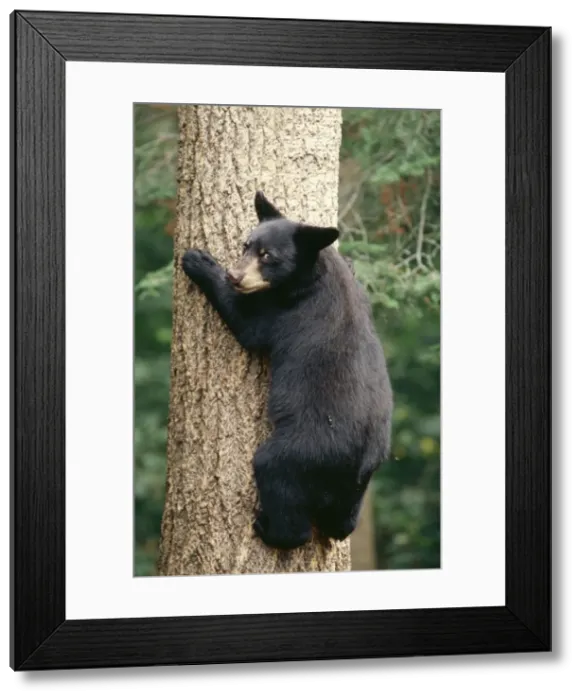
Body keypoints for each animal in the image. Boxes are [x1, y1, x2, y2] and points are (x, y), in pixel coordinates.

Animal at [181, 191, 393, 550]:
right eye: (246, 245)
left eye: (267, 256)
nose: (234, 276)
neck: (315, 271)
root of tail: (357, 465)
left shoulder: (286, 310)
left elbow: (247, 324)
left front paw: (198, 261)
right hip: (361, 484)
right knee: (342, 522)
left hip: (303, 450)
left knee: (274, 476)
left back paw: (269, 529)